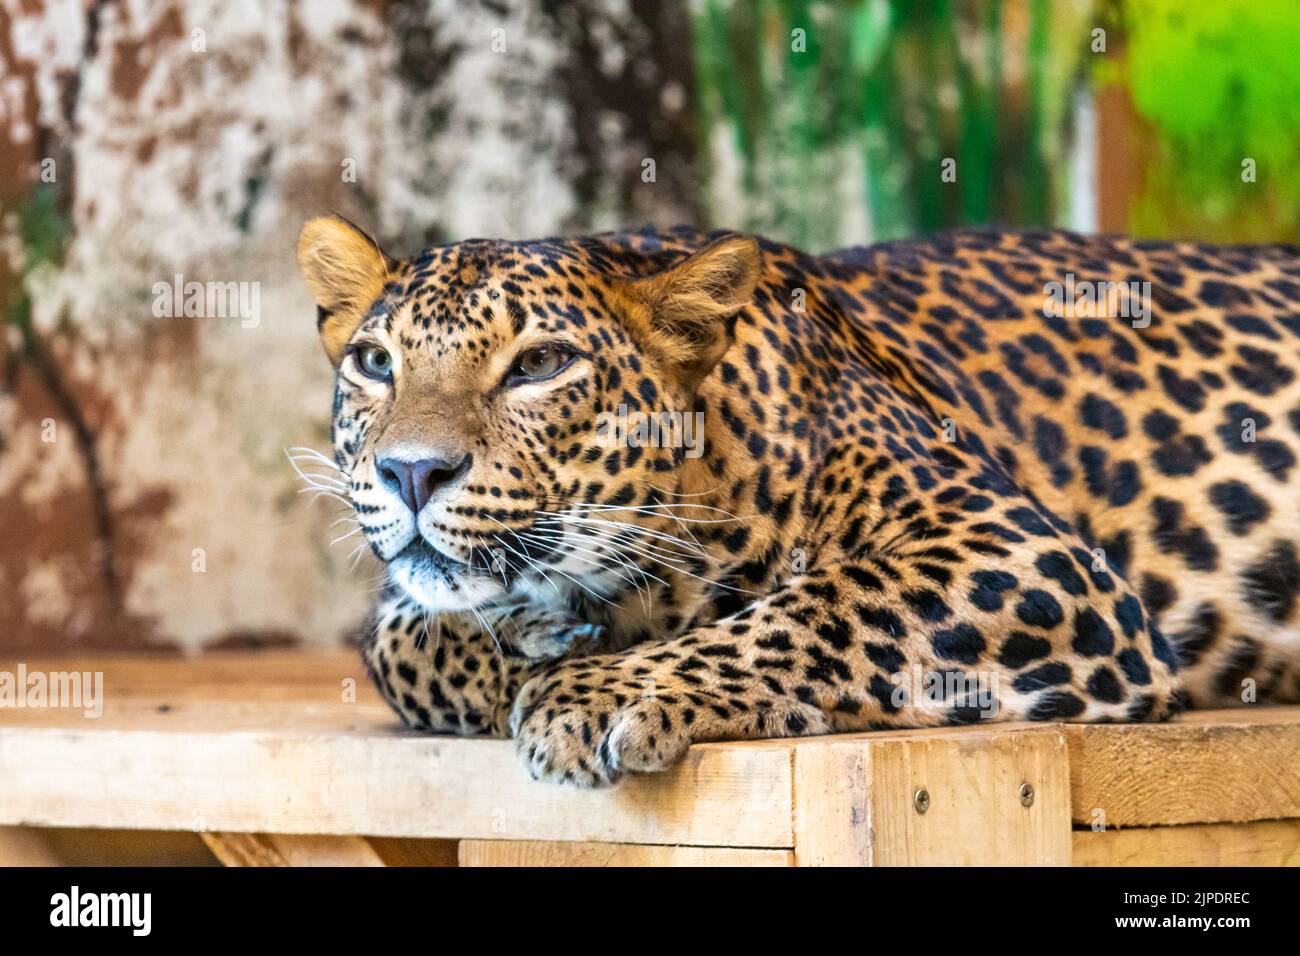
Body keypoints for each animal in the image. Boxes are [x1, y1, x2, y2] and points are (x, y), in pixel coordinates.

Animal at [295, 214, 1300, 785]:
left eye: (540, 364)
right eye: (375, 362)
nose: (411, 473)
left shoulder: (1024, 554)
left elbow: (821, 608)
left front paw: (594, 690)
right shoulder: (412, 602)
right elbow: (406, 643)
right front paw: (542, 644)